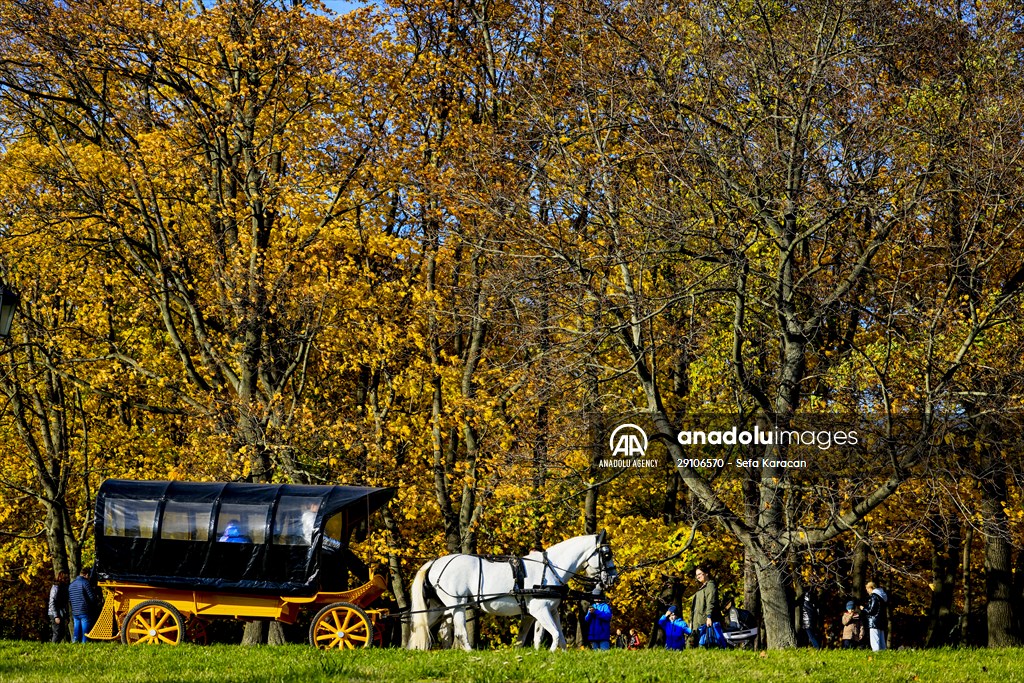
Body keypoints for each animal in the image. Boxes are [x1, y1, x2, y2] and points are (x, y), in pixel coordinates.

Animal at [405, 532, 614, 655]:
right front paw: (551, 654)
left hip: (439, 607)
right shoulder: (539, 610)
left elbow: (553, 637)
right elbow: (554, 634)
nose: (613, 577)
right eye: (606, 555)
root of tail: (435, 563)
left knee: (423, 626)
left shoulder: (549, 611)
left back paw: (414, 649)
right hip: (457, 605)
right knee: (460, 631)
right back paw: (470, 652)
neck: (550, 568)